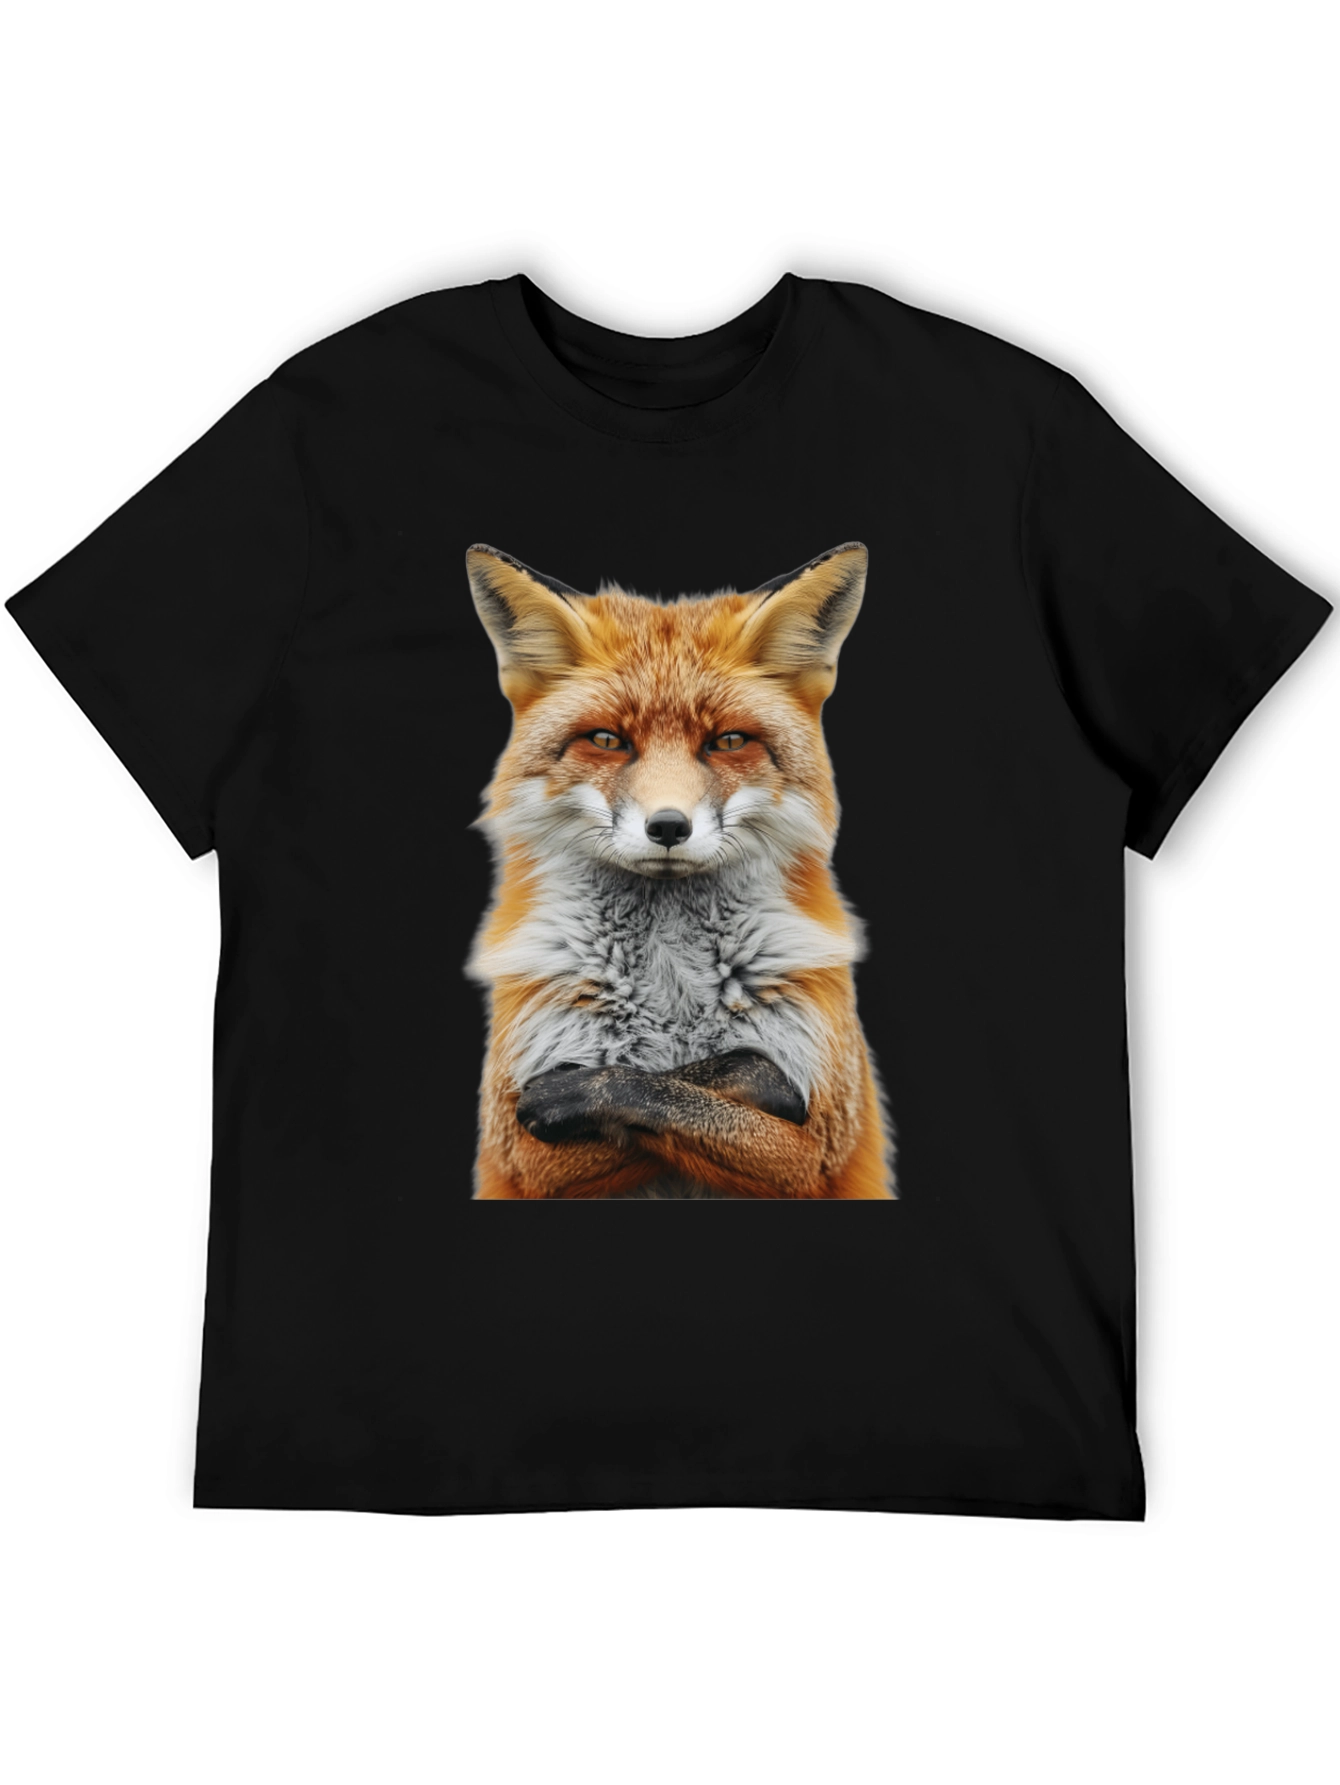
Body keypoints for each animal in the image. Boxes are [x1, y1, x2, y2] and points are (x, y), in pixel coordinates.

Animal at [465, 541, 892, 1200]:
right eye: (607, 740)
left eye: (729, 742)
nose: (668, 827)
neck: (670, 981)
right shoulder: (520, 1152)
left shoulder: (820, 1143)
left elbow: (687, 1088)